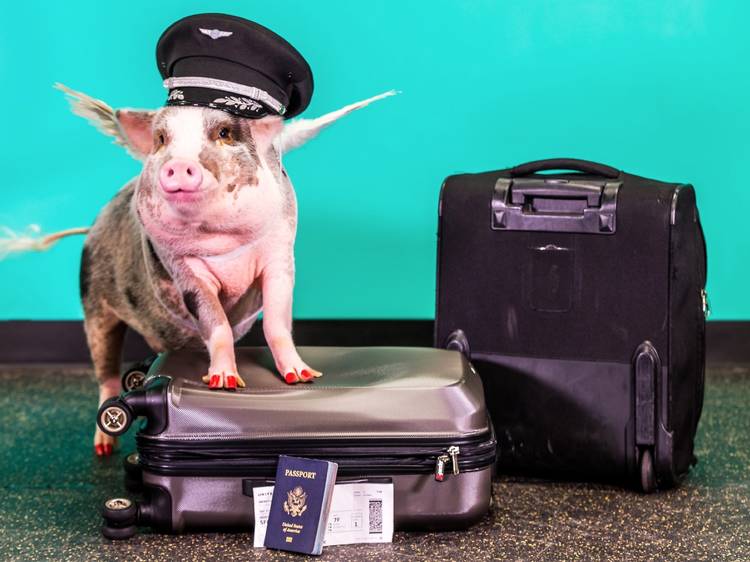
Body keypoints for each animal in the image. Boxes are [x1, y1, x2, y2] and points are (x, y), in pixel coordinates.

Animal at [50, 86, 396, 456]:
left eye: (225, 133)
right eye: (161, 139)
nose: (179, 164)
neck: (226, 245)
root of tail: (92, 227)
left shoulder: (279, 258)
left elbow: (277, 321)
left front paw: (303, 376)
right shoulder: (186, 271)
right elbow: (216, 323)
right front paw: (225, 383)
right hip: (94, 303)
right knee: (106, 373)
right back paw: (103, 448)